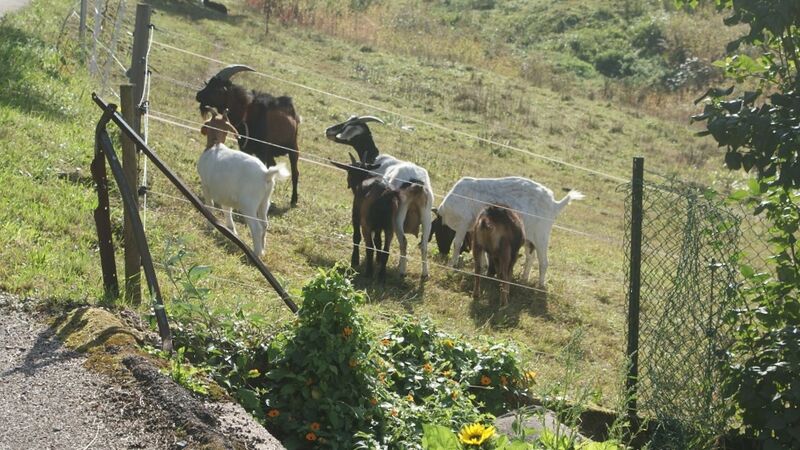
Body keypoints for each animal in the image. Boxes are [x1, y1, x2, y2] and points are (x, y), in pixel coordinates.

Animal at [196, 65, 301, 206]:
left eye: (217, 88)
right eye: (209, 83)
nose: (198, 95)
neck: (246, 113)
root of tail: (293, 112)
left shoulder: (263, 150)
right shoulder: (246, 148)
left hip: (293, 147)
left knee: (295, 172)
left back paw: (294, 200)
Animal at [198, 109, 289, 257]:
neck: (215, 144)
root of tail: (265, 174)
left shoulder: (206, 185)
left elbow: (210, 206)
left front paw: (210, 225)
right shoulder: (225, 193)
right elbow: (227, 209)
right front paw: (231, 230)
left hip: (249, 204)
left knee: (256, 228)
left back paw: (256, 253)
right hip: (265, 201)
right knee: (265, 224)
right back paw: (262, 250)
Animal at [330, 154, 399, 283]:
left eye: (350, 171)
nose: (349, 183)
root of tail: (386, 193)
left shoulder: (356, 217)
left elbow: (356, 237)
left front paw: (355, 260)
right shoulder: (378, 228)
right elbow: (378, 241)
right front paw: (378, 260)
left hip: (366, 224)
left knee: (369, 247)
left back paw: (369, 272)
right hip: (390, 227)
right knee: (386, 250)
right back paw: (382, 275)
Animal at [434, 177, 585, 287]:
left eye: (438, 233)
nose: (442, 253)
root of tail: (555, 204)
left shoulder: (462, 224)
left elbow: (457, 243)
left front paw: (451, 265)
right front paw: (484, 268)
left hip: (542, 236)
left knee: (544, 262)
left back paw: (540, 285)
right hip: (530, 239)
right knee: (530, 257)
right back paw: (524, 279)